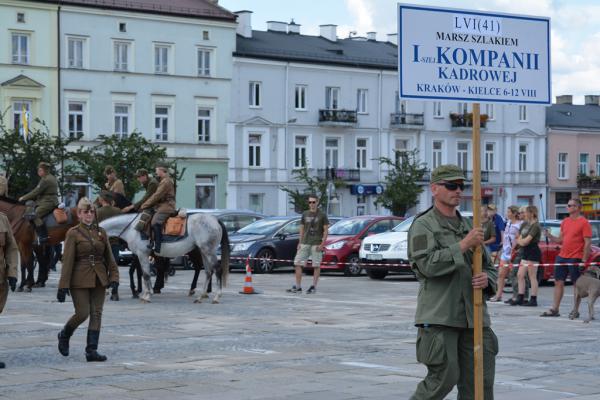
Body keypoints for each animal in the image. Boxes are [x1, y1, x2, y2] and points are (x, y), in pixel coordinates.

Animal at [99, 212, 229, 304]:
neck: (133, 228)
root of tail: (215, 219)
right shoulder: (140, 256)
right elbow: (143, 274)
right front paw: (145, 293)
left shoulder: (142, 254)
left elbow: (145, 274)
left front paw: (147, 295)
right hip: (203, 252)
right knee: (208, 272)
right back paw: (200, 297)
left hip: (208, 251)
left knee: (217, 270)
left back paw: (216, 297)